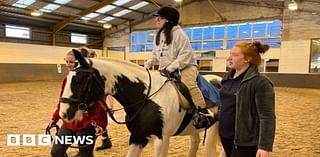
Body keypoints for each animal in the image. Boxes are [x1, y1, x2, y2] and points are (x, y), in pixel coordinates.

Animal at [58, 49, 224, 156]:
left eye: (78, 79)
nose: (63, 113)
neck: (146, 99)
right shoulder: (137, 138)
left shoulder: (161, 141)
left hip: (214, 130)